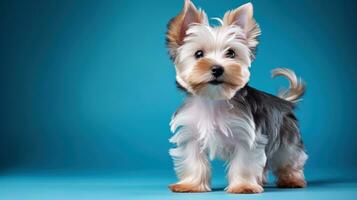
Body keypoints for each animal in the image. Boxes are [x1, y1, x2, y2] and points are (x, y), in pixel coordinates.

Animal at [164, 0, 306, 194]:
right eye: (199, 54)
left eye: (231, 53)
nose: (217, 68)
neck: (213, 99)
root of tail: (283, 102)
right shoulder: (191, 133)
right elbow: (193, 159)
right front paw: (191, 185)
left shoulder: (247, 135)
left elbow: (244, 162)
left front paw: (244, 186)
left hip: (286, 136)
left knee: (290, 157)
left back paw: (292, 179)